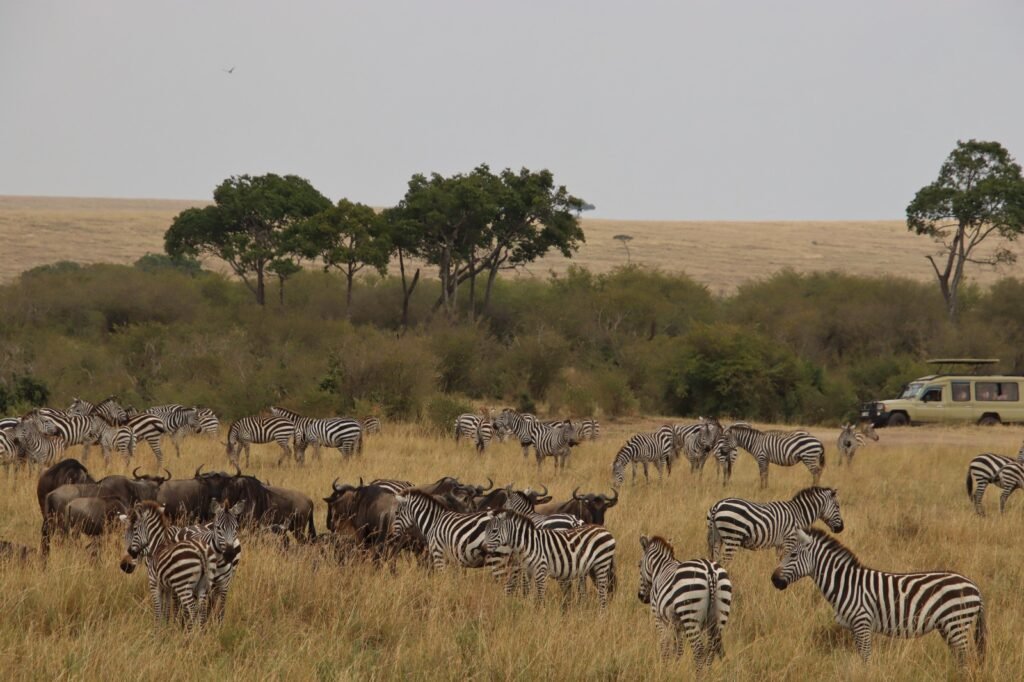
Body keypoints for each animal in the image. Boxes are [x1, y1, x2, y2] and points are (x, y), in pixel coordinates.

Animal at [117, 497, 216, 630]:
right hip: (203, 584)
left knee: (193, 610)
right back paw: (202, 632)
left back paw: (190, 633)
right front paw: (166, 627)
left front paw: (157, 630)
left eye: (135, 529)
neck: (157, 545)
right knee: (203, 611)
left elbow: (158, 609)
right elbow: (166, 608)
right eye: (124, 537)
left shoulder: (154, 583)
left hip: (184, 586)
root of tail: (201, 551)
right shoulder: (167, 586)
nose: (125, 565)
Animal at [481, 503, 614, 606]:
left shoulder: (540, 569)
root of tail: (604, 530)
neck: (527, 543)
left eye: (494, 531)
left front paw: (540, 613)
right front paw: (527, 609)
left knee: (602, 592)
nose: (483, 549)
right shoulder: (527, 570)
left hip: (602, 564)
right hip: (588, 567)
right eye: (485, 530)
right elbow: (528, 590)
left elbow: (540, 595)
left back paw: (601, 615)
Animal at [634, 532, 733, 667]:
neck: (660, 568)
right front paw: (674, 665)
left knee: (699, 650)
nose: (641, 597)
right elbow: (678, 648)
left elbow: (664, 644)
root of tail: (710, 571)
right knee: (711, 649)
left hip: (690, 616)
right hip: (720, 613)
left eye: (639, 565)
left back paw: (698, 673)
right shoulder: (677, 624)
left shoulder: (659, 617)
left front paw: (665, 666)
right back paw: (707, 671)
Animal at [708, 483, 843, 561]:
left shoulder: (780, 545)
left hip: (717, 538)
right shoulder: (789, 541)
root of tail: (718, 505)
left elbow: (778, 562)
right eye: (837, 506)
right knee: (726, 560)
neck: (799, 513)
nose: (841, 528)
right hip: (733, 537)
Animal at [774, 524, 983, 663]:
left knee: (966, 660)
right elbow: (862, 656)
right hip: (948, 627)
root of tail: (975, 587)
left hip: (956, 624)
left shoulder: (862, 622)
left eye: (793, 555)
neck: (846, 584)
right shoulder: (854, 627)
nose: (773, 580)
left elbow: (866, 658)